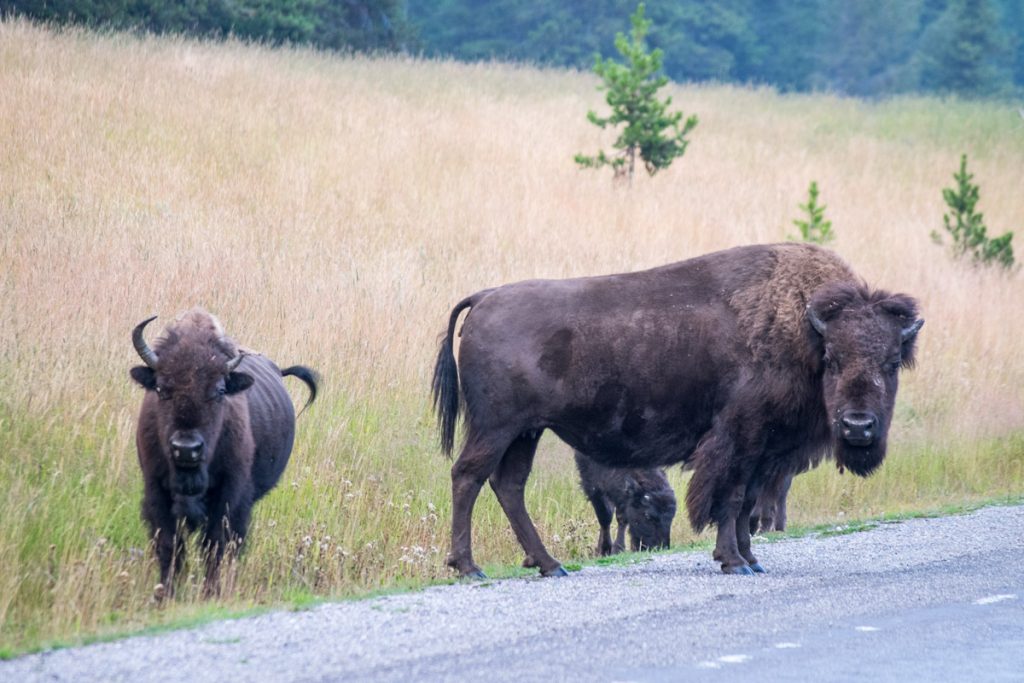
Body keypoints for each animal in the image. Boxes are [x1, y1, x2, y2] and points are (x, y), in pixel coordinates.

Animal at [130, 309, 317, 598]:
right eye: (161, 389)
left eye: (219, 391)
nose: (186, 448)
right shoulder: (156, 491)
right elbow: (169, 545)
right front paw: (166, 595)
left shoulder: (230, 495)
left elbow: (216, 545)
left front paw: (211, 593)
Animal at [428, 242, 925, 573]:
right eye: (834, 357)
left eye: (892, 361)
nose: (858, 426)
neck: (804, 328)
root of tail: (486, 297)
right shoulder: (739, 439)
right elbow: (729, 498)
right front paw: (733, 561)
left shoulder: (765, 450)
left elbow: (747, 502)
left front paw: (752, 559)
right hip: (495, 427)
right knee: (468, 476)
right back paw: (469, 567)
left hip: (525, 432)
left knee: (508, 485)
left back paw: (549, 564)